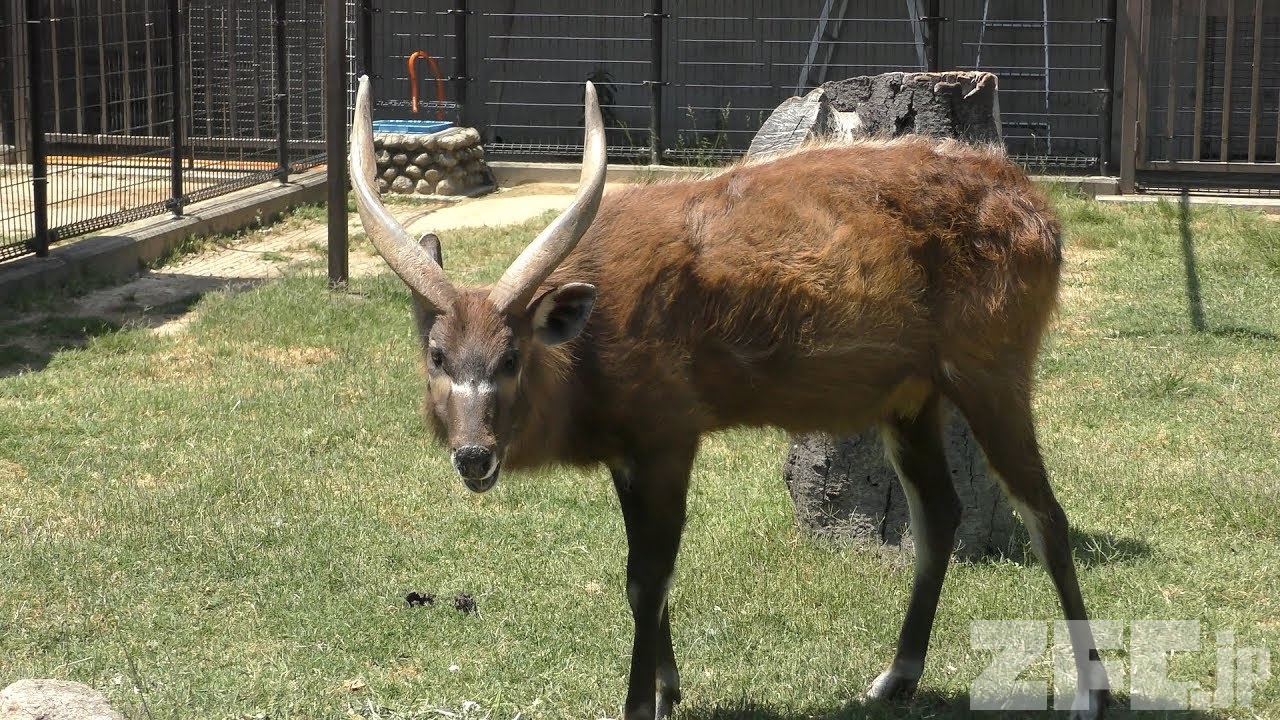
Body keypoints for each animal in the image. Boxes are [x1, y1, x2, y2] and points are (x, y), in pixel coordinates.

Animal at [348, 75, 1111, 712]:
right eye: (438, 355)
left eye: (510, 357)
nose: (473, 456)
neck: (598, 333)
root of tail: (1043, 215)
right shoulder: (629, 452)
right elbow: (641, 572)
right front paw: (670, 687)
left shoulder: (669, 435)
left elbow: (646, 578)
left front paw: (644, 703)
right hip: (911, 400)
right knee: (941, 515)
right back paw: (892, 679)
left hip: (993, 370)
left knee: (1046, 514)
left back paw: (1090, 692)